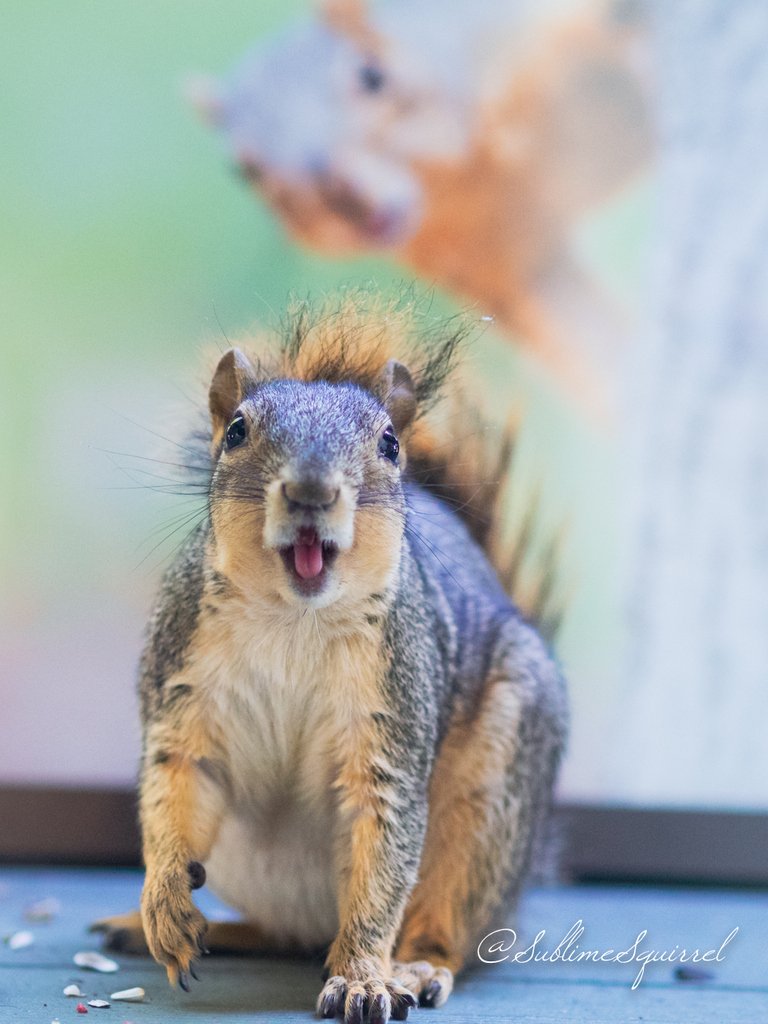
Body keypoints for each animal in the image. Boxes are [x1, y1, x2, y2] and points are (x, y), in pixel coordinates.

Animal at [91, 294, 568, 1023]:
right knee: (286, 935)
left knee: (443, 917)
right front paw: (165, 904)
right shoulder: (182, 689)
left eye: (390, 444)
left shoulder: (393, 717)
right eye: (236, 431)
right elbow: (176, 792)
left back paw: (415, 965)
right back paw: (197, 929)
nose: (311, 492)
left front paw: (365, 979)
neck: (294, 616)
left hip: (489, 808)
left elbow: (381, 867)